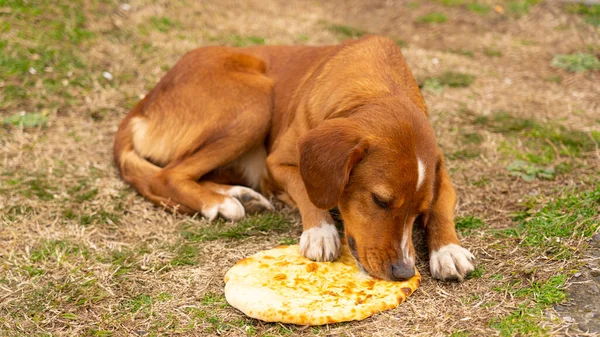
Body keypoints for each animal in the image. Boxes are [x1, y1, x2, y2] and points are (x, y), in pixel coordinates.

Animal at [115, 35, 476, 280]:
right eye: (379, 200)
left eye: (419, 212)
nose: (403, 272)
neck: (378, 88)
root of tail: (144, 103)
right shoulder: (279, 163)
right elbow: (306, 189)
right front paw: (321, 230)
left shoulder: (443, 177)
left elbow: (443, 208)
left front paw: (448, 249)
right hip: (254, 102)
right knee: (166, 175)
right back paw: (220, 203)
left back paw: (239, 194)